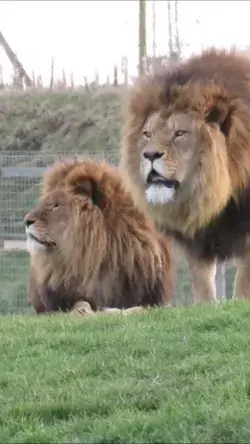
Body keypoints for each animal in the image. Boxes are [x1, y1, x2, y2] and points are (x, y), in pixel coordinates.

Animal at [23, 156, 172, 316]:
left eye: (56, 205)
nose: (26, 221)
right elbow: (81, 302)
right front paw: (85, 311)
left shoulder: (152, 298)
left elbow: (143, 307)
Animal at [120, 48, 250, 304]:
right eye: (147, 134)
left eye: (180, 133)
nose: (150, 154)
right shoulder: (197, 237)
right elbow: (201, 278)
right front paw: (205, 305)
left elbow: (243, 278)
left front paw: (240, 301)